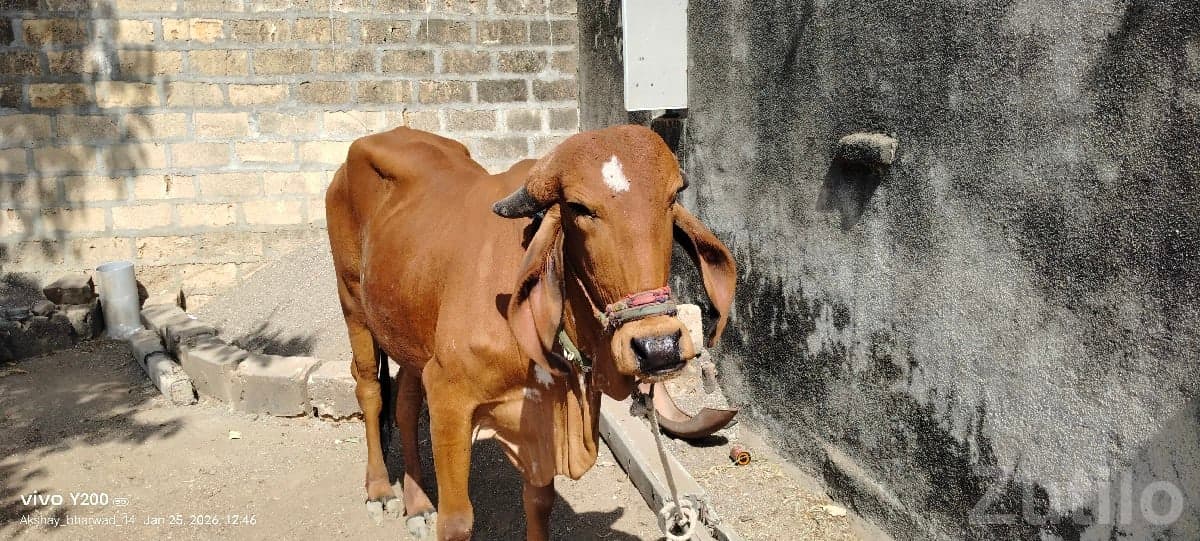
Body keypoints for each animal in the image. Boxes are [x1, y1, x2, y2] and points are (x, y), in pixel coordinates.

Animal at [325, 124, 737, 541]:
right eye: (579, 208)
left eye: (672, 198)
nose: (658, 346)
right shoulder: (448, 396)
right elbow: (457, 522)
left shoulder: (538, 418)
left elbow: (539, 502)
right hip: (352, 304)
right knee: (370, 390)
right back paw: (380, 490)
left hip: (408, 330)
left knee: (406, 405)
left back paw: (418, 503)